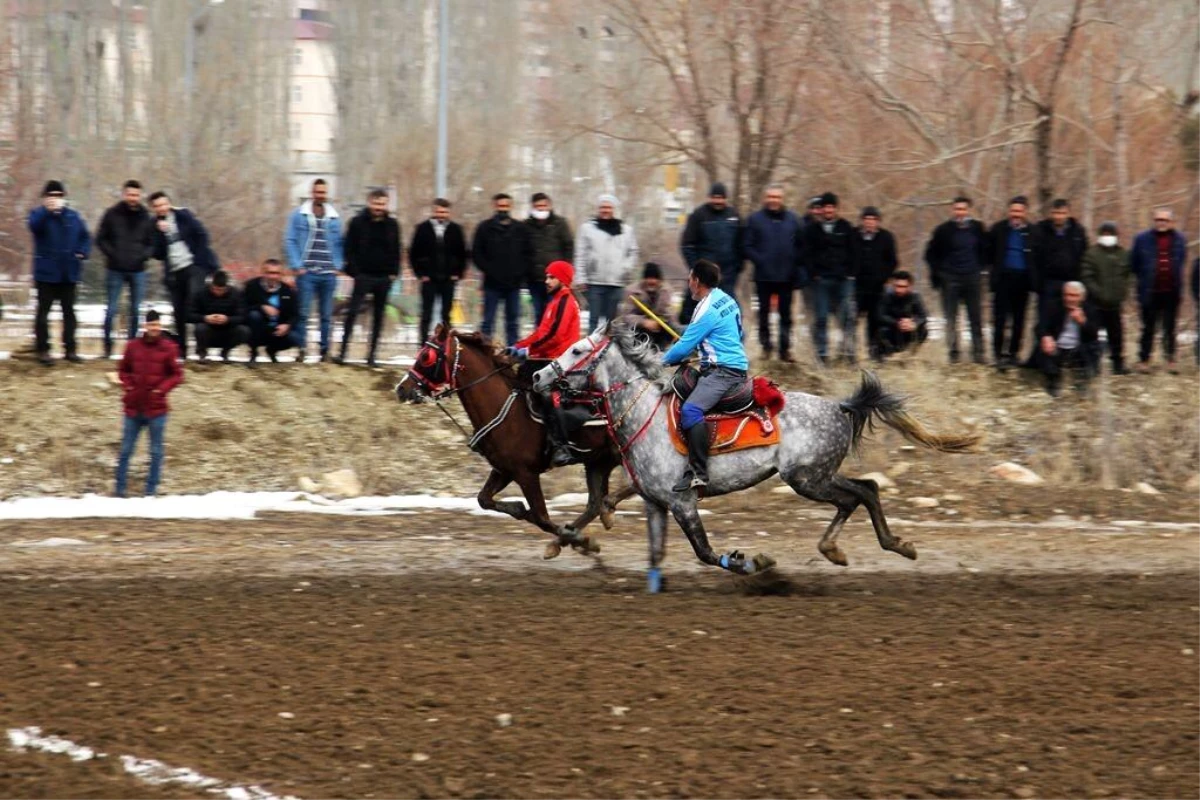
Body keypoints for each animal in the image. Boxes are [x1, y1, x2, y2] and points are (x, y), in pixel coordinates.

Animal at [393, 326, 638, 556]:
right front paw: (526, 512)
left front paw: (579, 539)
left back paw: (604, 511)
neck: (505, 410)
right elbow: (485, 500)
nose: (401, 389)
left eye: (426, 356)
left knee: (626, 489)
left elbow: (541, 517)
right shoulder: (504, 470)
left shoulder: (525, 474)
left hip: (620, 455)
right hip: (598, 461)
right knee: (594, 502)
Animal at [532, 323, 974, 582]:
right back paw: (855, 548)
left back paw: (880, 546)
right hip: (817, 476)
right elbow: (655, 555)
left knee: (860, 493)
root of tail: (841, 407)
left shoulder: (683, 502)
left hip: (807, 478)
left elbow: (706, 552)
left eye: (577, 350)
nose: (537, 375)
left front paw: (752, 563)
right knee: (865, 490)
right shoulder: (655, 504)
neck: (645, 416)